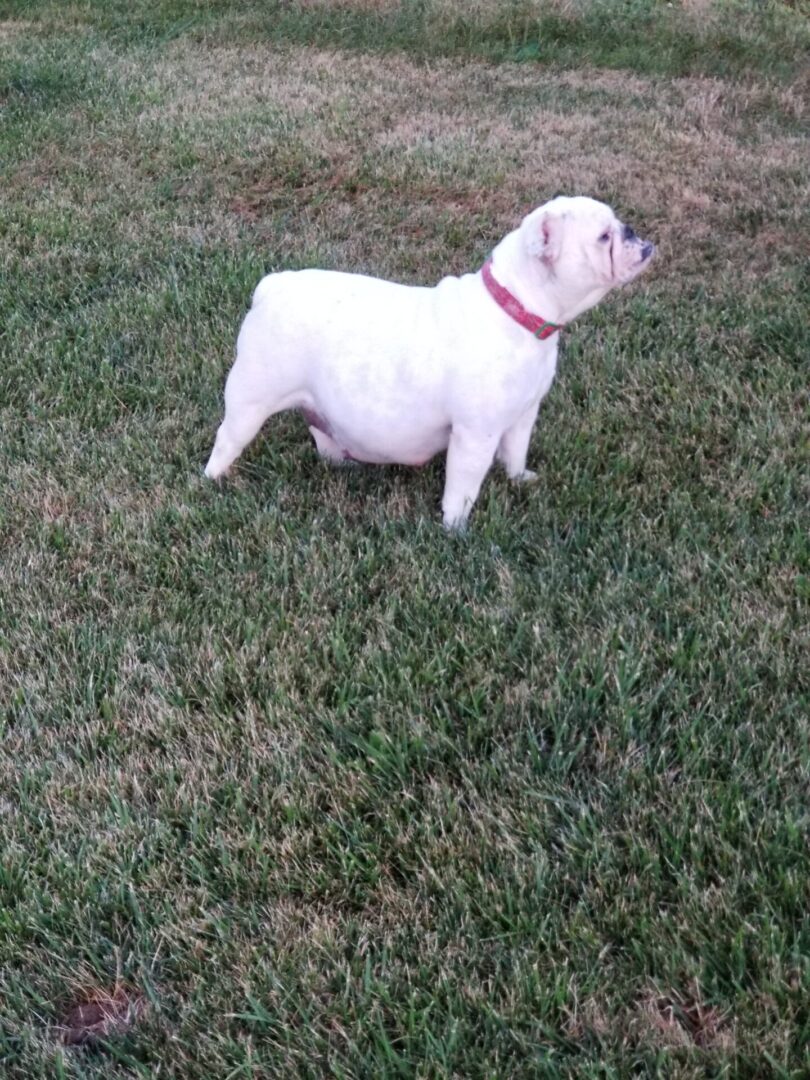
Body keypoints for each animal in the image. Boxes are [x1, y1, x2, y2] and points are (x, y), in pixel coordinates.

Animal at [204, 199, 652, 531]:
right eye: (604, 236)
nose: (633, 231)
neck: (518, 308)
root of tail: (272, 287)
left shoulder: (524, 414)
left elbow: (516, 452)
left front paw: (519, 479)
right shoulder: (475, 435)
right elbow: (464, 484)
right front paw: (455, 528)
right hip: (251, 399)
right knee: (228, 440)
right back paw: (213, 481)